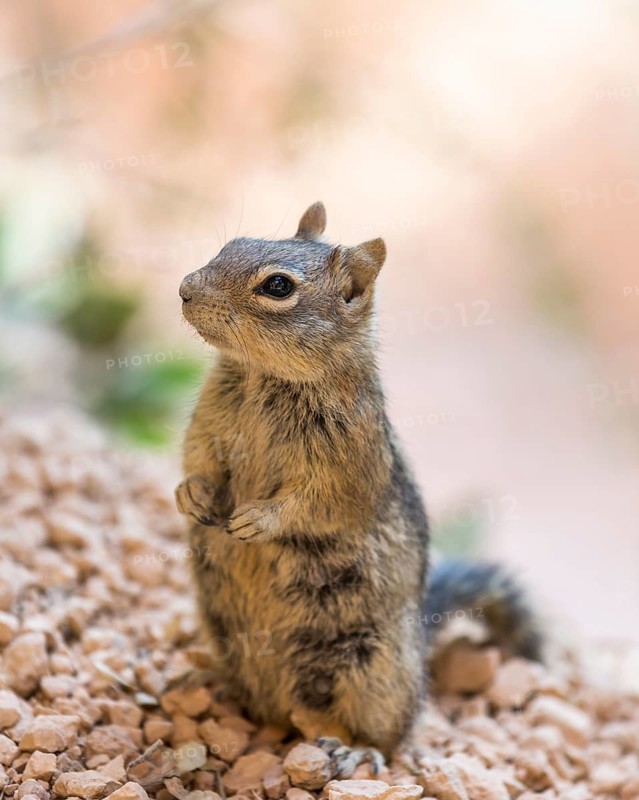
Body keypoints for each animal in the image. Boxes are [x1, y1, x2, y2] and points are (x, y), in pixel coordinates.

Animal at [175, 202, 541, 773]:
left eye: (277, 286)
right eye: (231, 244)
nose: (185, 289)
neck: (261, 376)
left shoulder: (346, 464)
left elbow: (316, 504)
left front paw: (256, 519)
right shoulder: (209, 425)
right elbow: (198, 460)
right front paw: (191, 495)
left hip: (371, 671)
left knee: (389, 735)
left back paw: (351, 750)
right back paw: (208, 681)